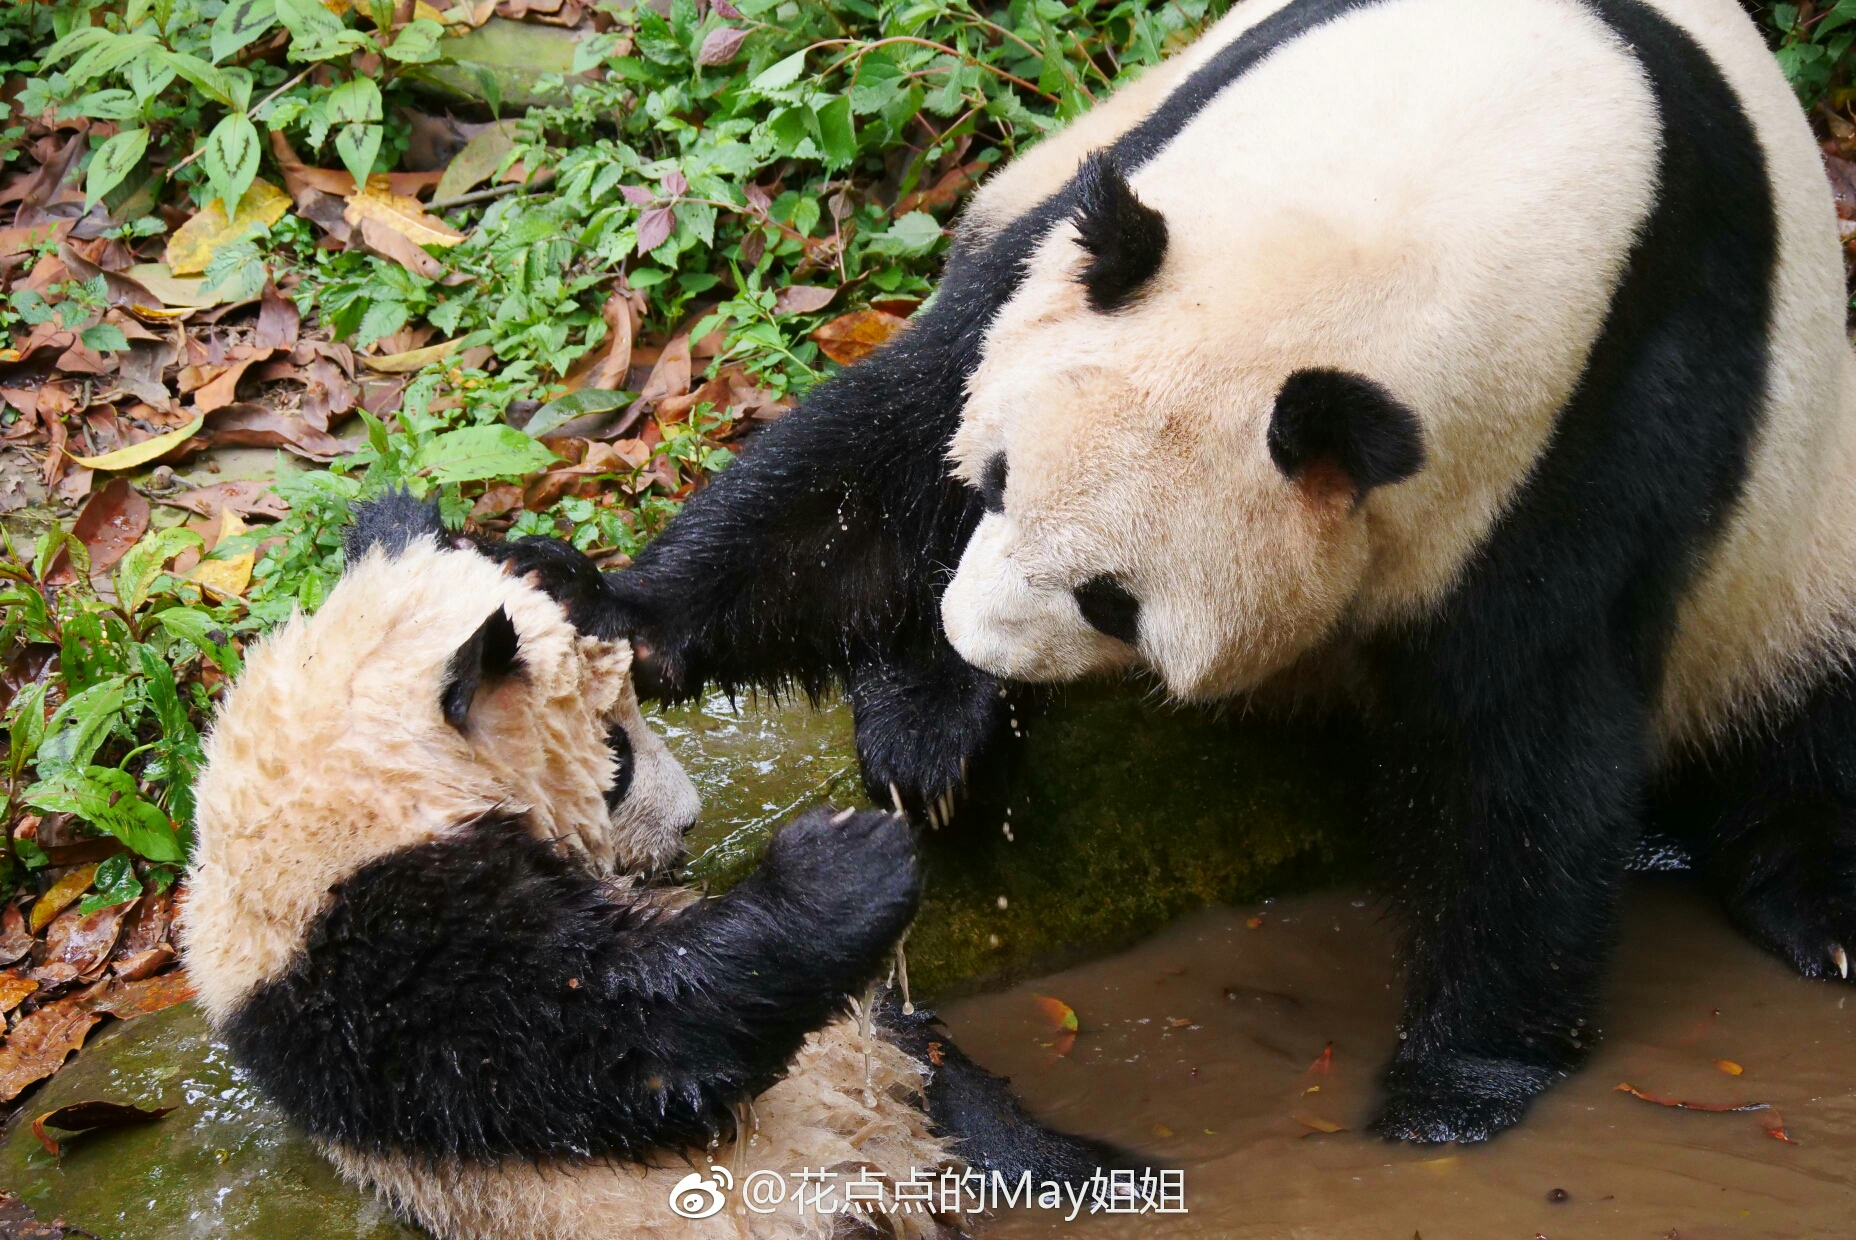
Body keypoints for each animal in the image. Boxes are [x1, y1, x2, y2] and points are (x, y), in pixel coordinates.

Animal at [180, 497, 1121, 1240]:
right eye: (616, 750)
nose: (689, 818)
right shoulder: (379, 979)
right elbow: (635, 1036)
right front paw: (847, 861)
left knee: (964, 1110)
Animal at [504, 0, 1856, 1143]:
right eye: (996, 480)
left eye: (1114, 600)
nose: (972, 636)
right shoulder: (1108, 203)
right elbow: (887, 441)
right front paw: (604, 610)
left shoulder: (1605, 404)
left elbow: (1529, 730)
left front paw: (1459, 1084)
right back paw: (930, 730)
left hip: (1795, 535)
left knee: (1809, 698)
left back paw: (1816, 902)